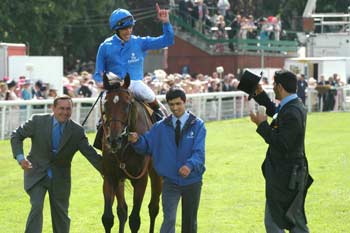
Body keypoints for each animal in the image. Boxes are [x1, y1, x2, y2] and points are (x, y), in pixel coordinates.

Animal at [100, 73, 163, 232]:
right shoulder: (110, 176)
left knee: (153, 208)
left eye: (127, 105)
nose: (114, 139)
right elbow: (108, 218)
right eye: (106, 105)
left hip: (156, 174)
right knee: (122, 210)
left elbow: (135, 220)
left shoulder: (141, 179)